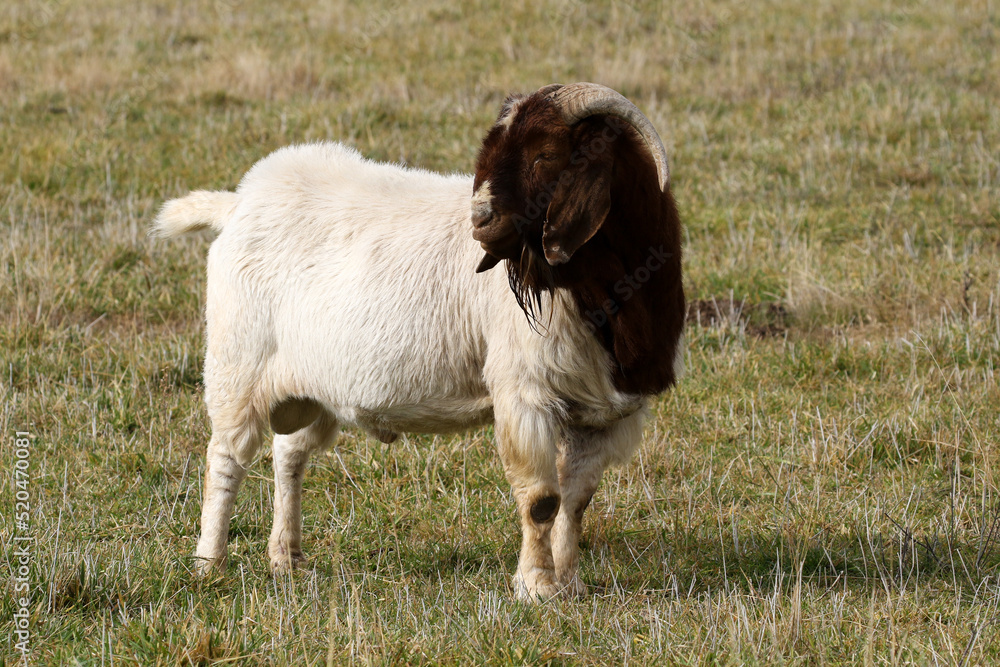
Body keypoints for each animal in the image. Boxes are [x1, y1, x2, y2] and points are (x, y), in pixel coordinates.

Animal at [154, 82, 685, 600]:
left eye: (546, 155)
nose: (479, 219)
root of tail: (236, 204)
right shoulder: (524, 392)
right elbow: (541, 500)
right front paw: (536, 587)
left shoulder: (605, 414)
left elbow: (576, 502)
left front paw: (569, 583)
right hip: (236, 366)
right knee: (225, 459)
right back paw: (209, 565)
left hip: (312, 384)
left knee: (289, 456)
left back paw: (286, 558)